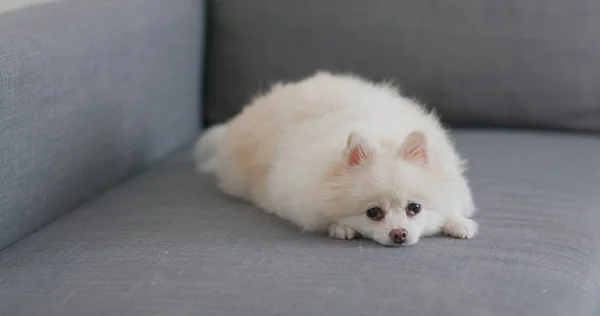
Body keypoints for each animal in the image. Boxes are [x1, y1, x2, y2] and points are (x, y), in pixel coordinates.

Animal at [197, 71, 478, 247]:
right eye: (373, 213)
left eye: (415, 208)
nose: (399, 233)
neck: (381, 135)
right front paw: (341, 227)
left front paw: (459, 223)